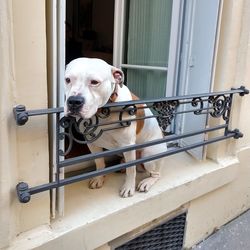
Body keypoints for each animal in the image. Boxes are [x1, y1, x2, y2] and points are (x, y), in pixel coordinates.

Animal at [64, 58, 166, 197]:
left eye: (94, 82)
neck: (103, 112)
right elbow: (99, 162)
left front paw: (128, 187)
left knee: (155, 174)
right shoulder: (92, 143)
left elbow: (131, 170)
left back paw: (146, 182)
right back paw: (122, 166)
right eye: (67, 80)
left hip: (149, 155)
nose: (74, 101)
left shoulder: (128, 145)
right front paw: (99, 178)